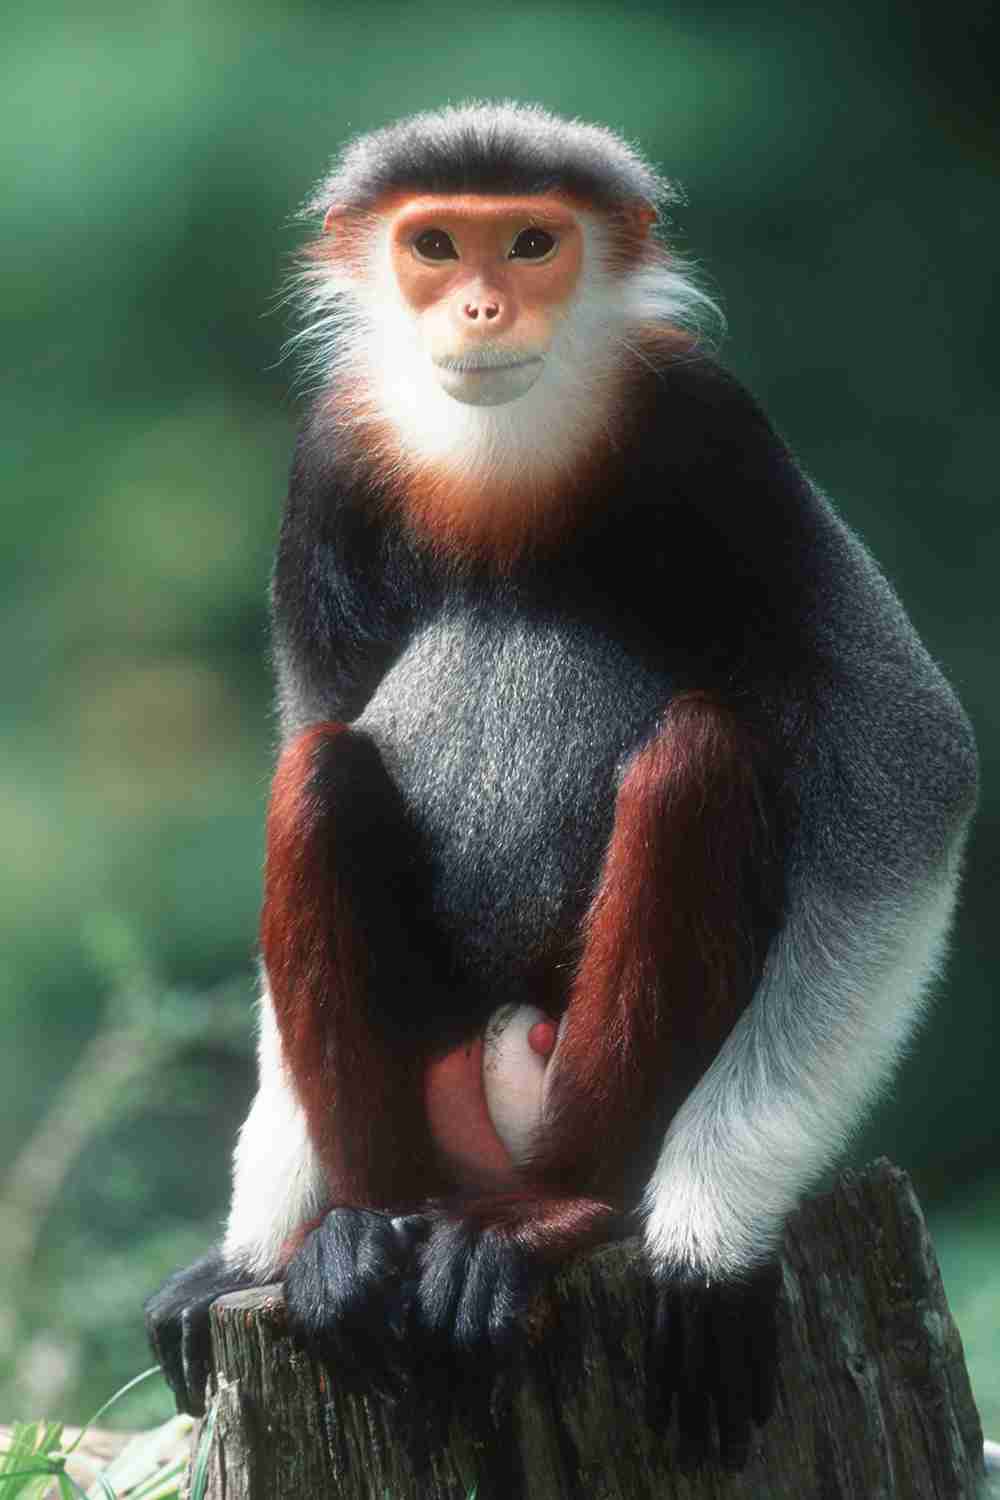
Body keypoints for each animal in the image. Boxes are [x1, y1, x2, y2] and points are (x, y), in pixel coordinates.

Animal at [145, 102, 977, 1470]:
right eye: (435, 244)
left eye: (532, 242)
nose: (480, 307)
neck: (502, 456)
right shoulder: (330, 461)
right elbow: (311, 721)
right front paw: (246, 1250)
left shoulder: (716, 427)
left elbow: (914, 770)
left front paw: (705, 1238)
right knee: (318, 770)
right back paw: (355, 1240)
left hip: (574, 1081)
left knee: (697, 753)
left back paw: (558, 1220)